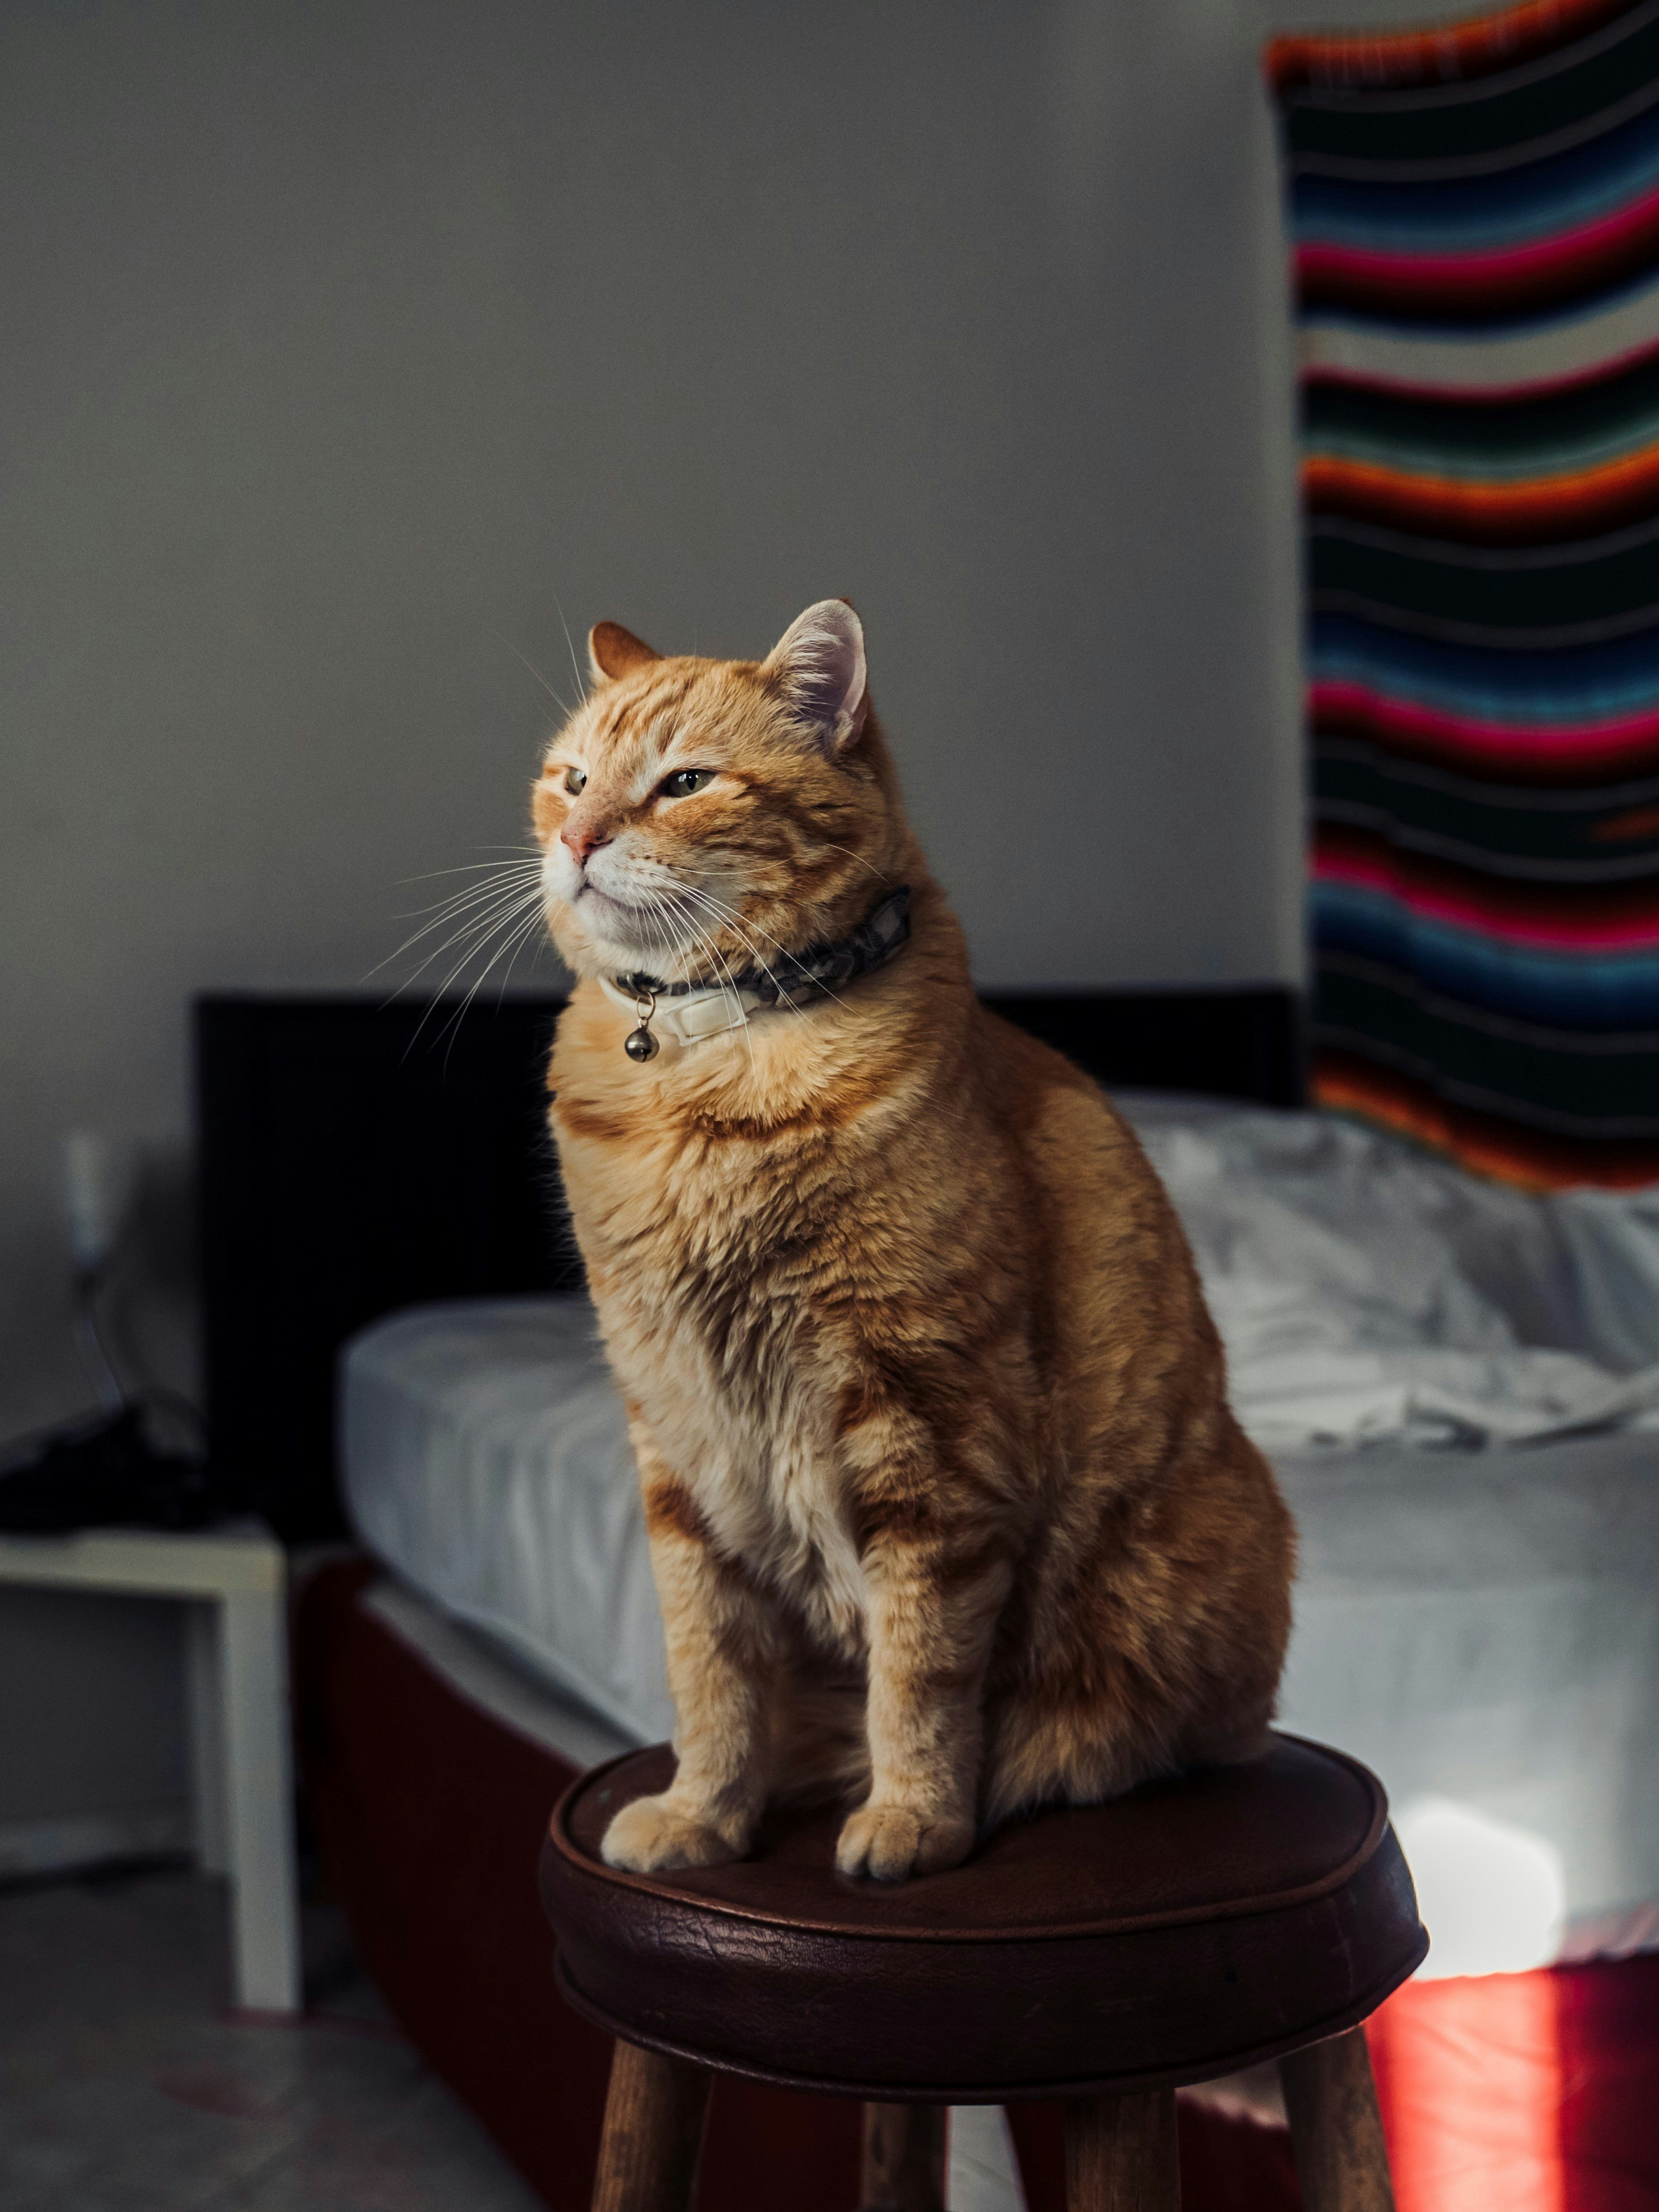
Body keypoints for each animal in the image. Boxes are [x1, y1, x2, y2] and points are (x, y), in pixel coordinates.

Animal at [539, 601, 1291, 1884]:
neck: (704, 1075)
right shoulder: (677, 1432)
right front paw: (702, 1813)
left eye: (684, 782)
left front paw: (912, 1817)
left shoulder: (928, 1426)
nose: (581, 839)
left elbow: (920, 1668)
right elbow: (711, 1671)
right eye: (573, 780)